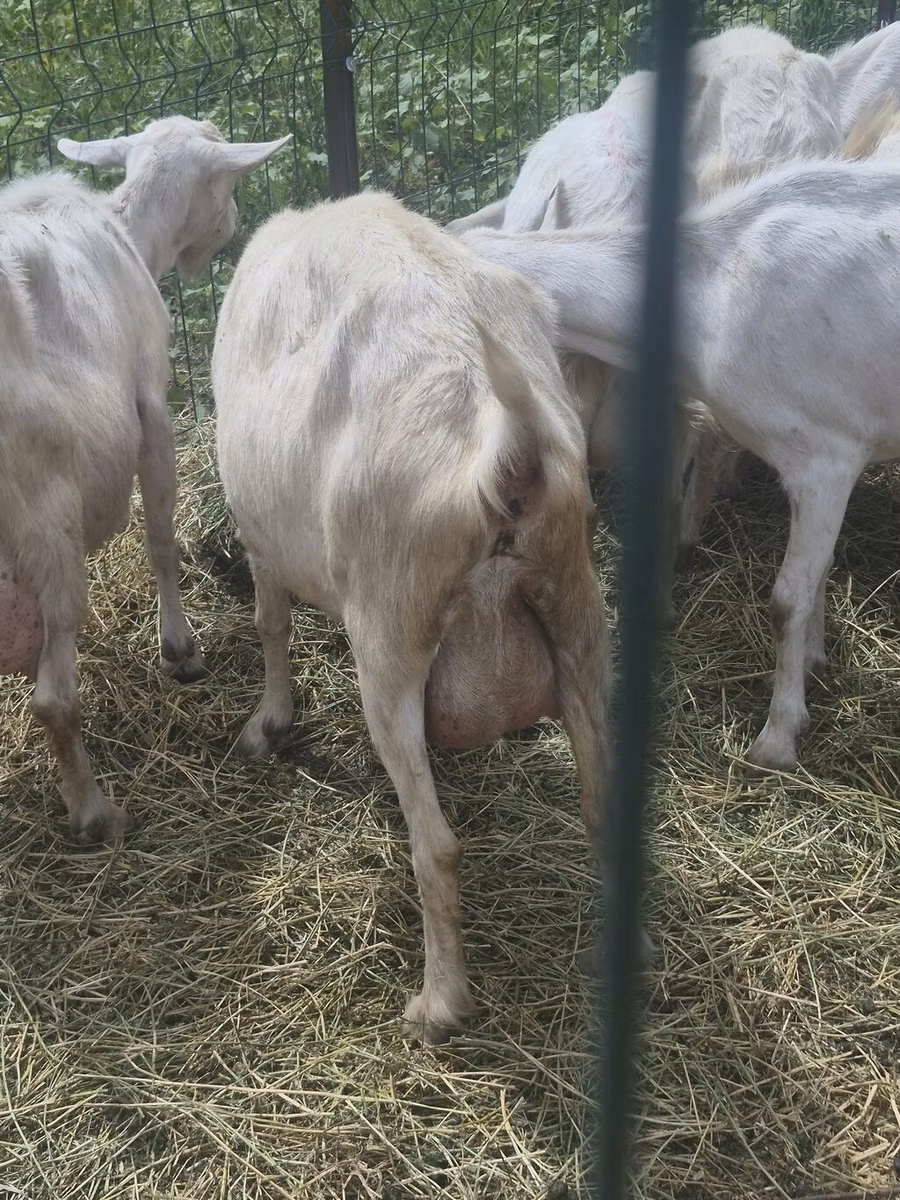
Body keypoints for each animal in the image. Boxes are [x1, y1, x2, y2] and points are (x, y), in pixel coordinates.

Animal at [0, 116, 290, 841]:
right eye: (227, 183)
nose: (232, 224)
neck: (127, 230)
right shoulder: (151, 404)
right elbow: (160, 536)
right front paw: (179, 649)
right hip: (46, 523)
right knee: (53, 698)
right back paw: (95, 814)